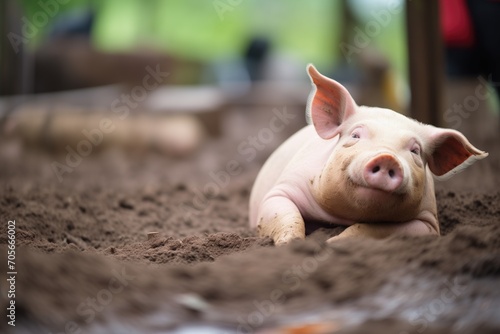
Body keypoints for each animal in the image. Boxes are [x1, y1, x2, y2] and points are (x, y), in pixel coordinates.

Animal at [250, 64, 488, 245]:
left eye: (415, 151)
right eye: (356, 135)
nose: (387, 157)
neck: (341, 216)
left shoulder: (428, 222)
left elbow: (370, 230)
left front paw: (331, 242)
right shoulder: (282, 189)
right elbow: (287, 215)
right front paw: (292, 244)